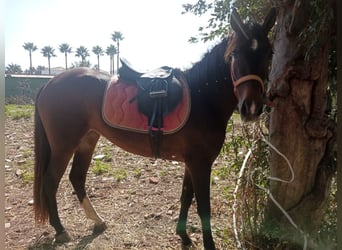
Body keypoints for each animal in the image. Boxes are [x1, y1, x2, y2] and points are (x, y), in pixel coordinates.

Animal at [33, 8, 276, 250]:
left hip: (87, 140)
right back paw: (61, 230)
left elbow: (186, 197)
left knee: (77, 178)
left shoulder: (192, 162)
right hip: (64, 146)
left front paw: (183, 236)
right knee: (50, 181)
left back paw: (97, 222)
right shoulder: (200, 163)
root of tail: (50, 83)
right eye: (235, 54)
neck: (202, 98)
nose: (251, 108)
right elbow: (203, 208)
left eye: (269, 54)